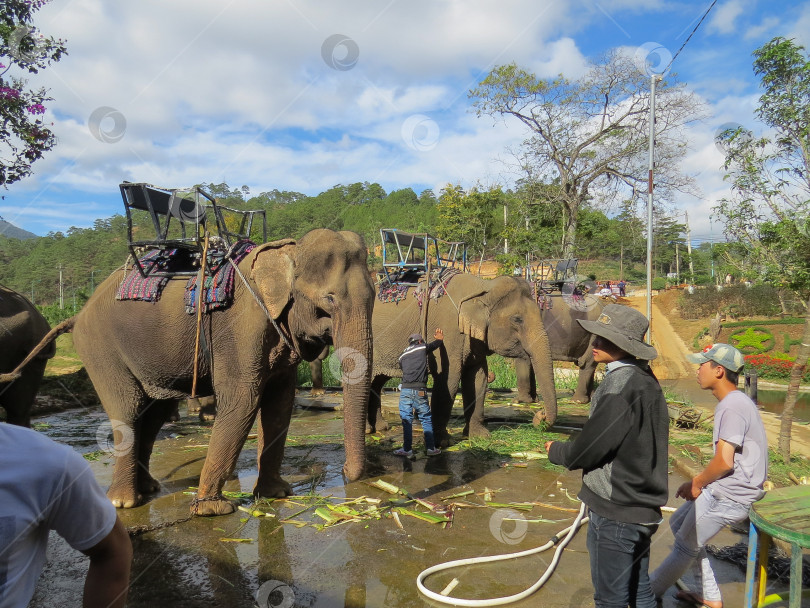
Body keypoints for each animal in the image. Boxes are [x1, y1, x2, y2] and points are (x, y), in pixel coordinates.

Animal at [14, 230, 372, 516]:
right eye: (329, 299)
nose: (344, 473)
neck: (287, 250)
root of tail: (79, 313)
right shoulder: (239, 330)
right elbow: (243, 401)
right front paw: (213, 510)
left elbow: (280, 404)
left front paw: (276, 494)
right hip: (100, 349)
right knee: (127, 411)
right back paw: (124, 502)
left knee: (153, 414)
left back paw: (149, 489)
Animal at [366, 274, 556, 444]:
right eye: (517, 319)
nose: (540, 415)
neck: (483, 287)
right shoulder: (451, 331)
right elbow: (448, 378)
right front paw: (442, 442)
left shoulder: (475, 341)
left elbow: (478, 378)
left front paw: (479, 437)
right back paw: (370, 430)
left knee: (377, 382)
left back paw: (380, 428)